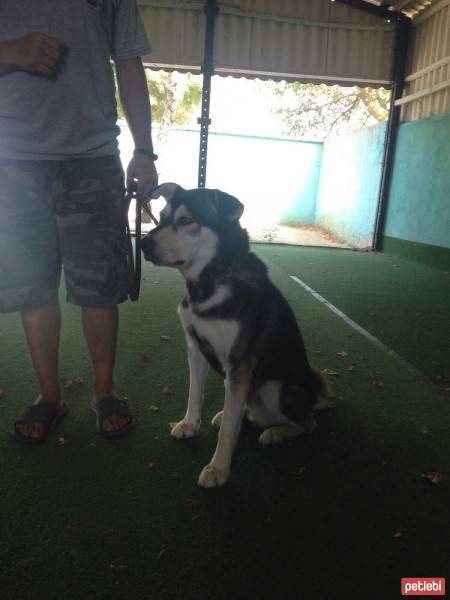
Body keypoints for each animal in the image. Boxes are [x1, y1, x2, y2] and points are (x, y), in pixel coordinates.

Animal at [142, 183, 330, 488]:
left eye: (186, 220)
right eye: (161, 216)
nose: (143, 244)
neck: (207, 285)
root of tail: (315, 395)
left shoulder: (239, 362)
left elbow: (228, 430)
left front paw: (218, 469)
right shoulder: (195, 347)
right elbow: (195, 393)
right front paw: (189, 424)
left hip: (273, 388)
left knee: (308, 423)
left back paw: (276, 432)